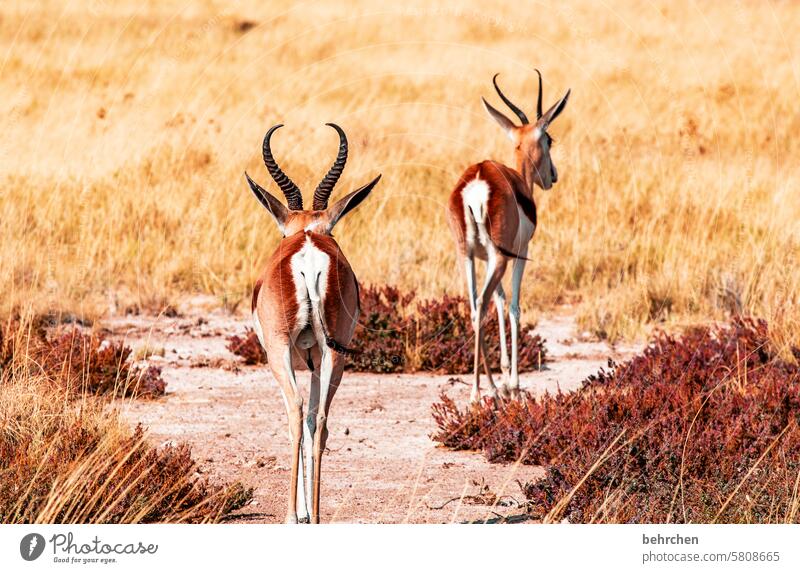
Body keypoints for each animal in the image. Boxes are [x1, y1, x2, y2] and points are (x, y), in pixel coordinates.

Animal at [244, 123, 382, 520]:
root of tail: (308, 255)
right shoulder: (316, 357)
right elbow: (311, 421)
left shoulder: (284, 355)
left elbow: (296, 417)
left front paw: (300, 512)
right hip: (336, 352)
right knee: (319, 420)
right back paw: (318, 516)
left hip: (280, 351)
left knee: (295, 410)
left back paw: (291, 516)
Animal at [446, 72, 572, 402]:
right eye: (549, 139)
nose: (553, 176)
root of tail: (478, 181)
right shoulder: (520, 253)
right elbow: (514, 307)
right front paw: (513, 384)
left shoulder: (485, 258)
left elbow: (500, 302)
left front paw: (502, 379)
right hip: (499, 258)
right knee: (482, 303)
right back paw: (477, 393)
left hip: (467, 255)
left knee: (475, 307)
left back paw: (487, 388)